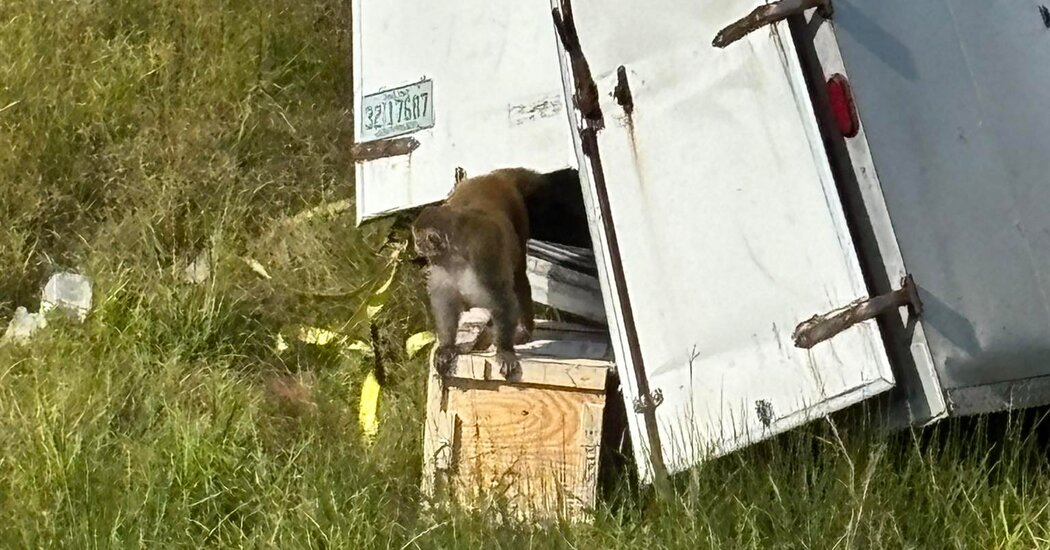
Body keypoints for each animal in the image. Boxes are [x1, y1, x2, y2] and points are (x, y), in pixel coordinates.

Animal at [412, 168, 547, 379]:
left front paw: (505, 350)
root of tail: (493, 176)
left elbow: (502, 298)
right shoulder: (440, 265)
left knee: (518, 276)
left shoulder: (483, 253)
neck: (456, 253)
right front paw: (447, 346)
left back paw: (524, 329)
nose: (416, 247)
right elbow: (445, 301)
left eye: (419, 240)